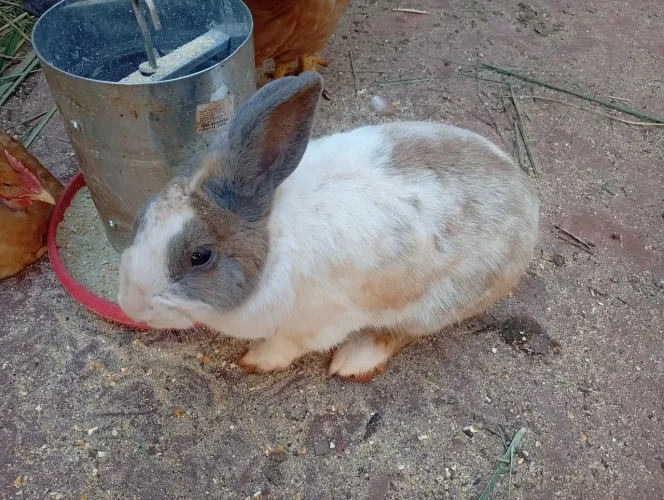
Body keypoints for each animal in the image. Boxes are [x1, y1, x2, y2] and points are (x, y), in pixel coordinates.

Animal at [118, 71, 539, 381]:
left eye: (200, 256)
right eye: (141, 216)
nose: (131, 304)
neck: (271, 243)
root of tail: (527, 201)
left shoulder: (313, 324)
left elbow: (286, 346)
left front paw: (255, 361)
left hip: (433, 304)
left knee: (396, 334)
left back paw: (353, 362)